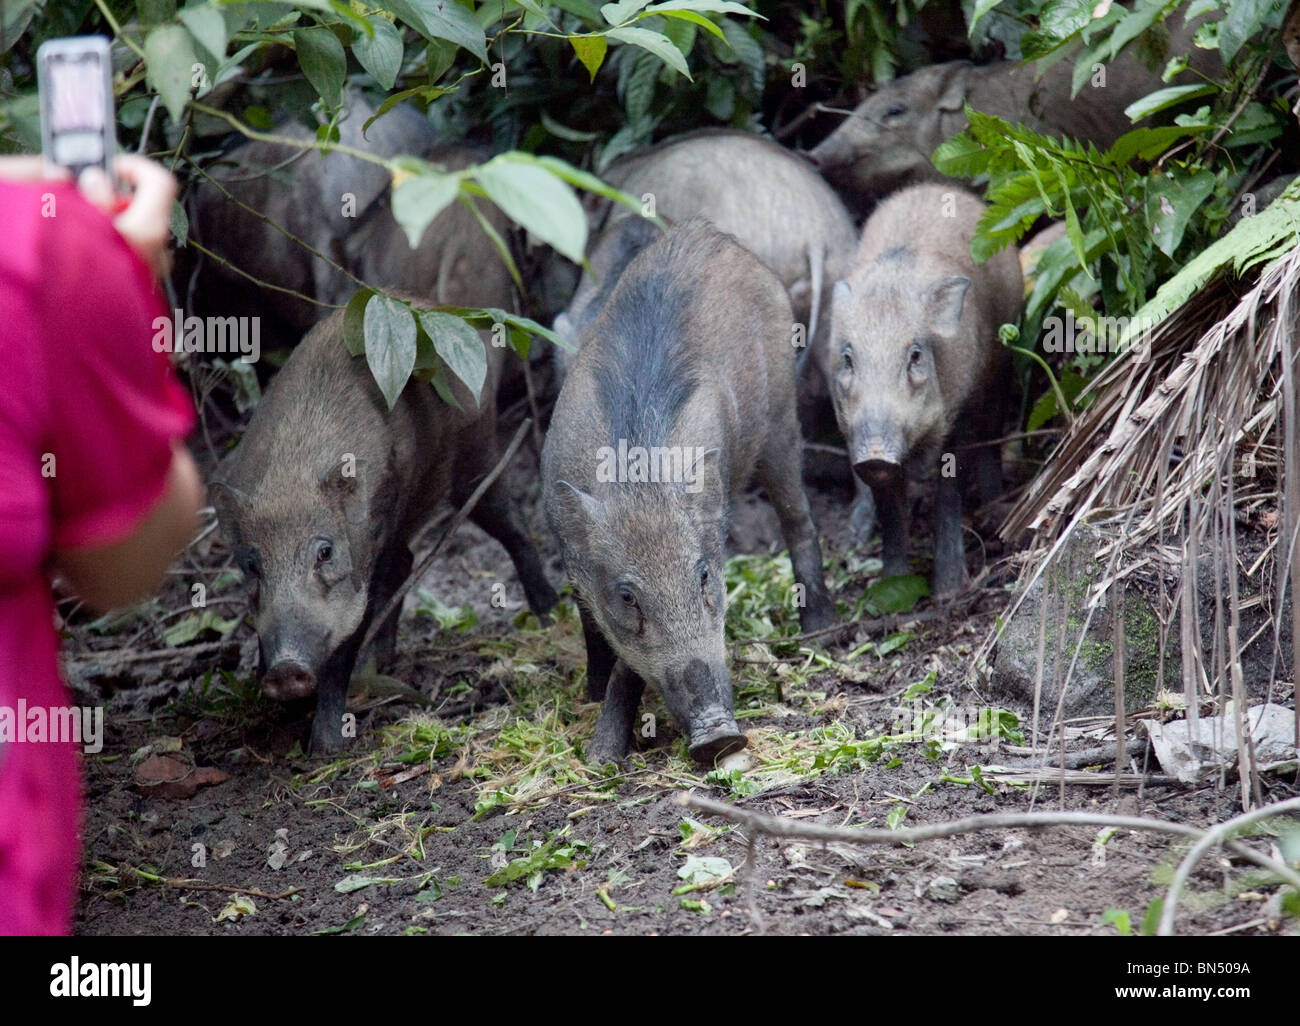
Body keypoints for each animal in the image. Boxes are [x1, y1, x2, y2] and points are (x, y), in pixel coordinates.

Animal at [212, 300, 557, 753]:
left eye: (325, 552)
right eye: (252, 565)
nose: (286, 671)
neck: (292, 475)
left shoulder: (363, 563)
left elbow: (345, 645)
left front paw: (324, 748)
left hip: (476, 453)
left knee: (514, 527)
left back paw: (551, 615)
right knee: (406, 559)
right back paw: (382, 662)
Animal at [543, 221, 835, 764]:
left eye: (704, 576)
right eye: (627, 596)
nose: (720, 735)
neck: (638, 484)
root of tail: (711, 233)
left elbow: (627, 668)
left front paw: (602, 755)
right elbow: (600, 635)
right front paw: (598, 741)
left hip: (781, 418)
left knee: (799, 519)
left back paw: (820, 636)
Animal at [824, 184, 1022, 596]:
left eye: (915, 355)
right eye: (848, 359)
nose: (876, 455)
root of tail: (940, 188)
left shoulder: (962, 409)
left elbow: (949, 493)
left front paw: (948, 593)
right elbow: (889, 507)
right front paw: (892, 589)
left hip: (1003, 365)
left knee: (994, 434)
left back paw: (995, 513)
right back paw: (853, 539)